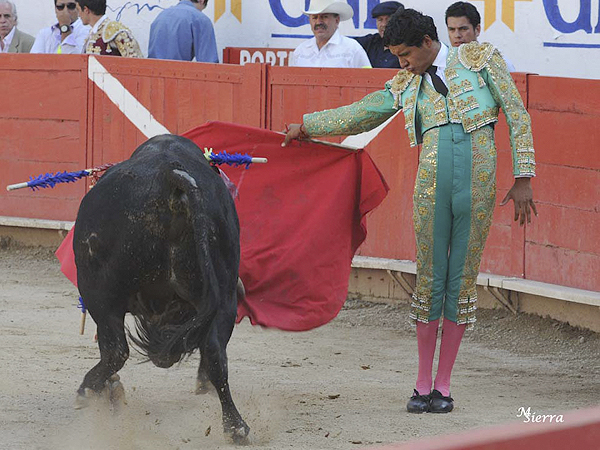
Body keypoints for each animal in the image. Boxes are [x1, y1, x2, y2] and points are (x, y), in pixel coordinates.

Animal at [73, 134, 251, 442]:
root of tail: (170, 176)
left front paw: (109, 390)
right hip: (224, 291)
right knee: (215, 351)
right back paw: (235, 427)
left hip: (97, 291)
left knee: (115, 350)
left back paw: (87, 391)